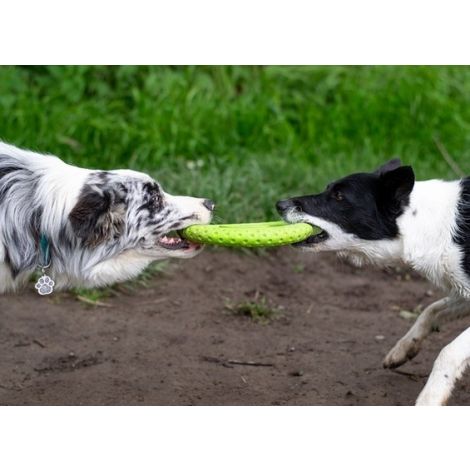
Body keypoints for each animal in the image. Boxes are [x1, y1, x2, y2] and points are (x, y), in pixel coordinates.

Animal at [278, 160, 470, 406]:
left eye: (339, 196)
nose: (279, 204)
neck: (430, 224)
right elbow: (430, 310)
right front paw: (403, 348)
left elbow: (448, 352)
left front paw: (430, 399)